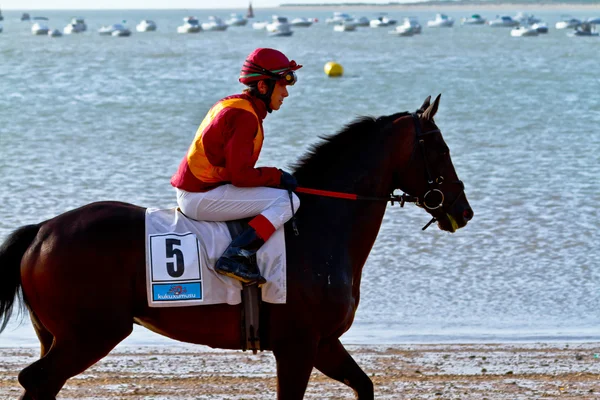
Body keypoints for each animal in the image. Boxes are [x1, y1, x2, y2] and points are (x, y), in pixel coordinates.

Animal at [0, 95, 474, 398]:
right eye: (440, 148)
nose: (463, 209)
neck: (320, 230)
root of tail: (42, 231)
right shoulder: (298, 345)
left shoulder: (323, 343)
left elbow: (365, 385)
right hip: (91, 334)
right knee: (38, 381)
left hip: (59, 335)